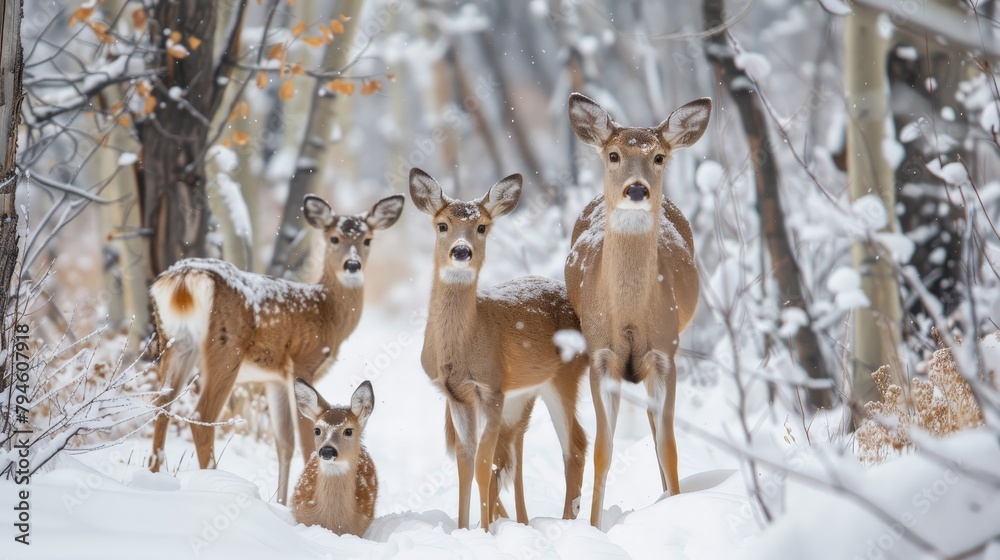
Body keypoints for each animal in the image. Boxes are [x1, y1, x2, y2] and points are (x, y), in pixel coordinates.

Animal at [146, 192, 404, 504]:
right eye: (333, 238)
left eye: (367, 240)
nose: (352, 265)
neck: (325, 312)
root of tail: (183, 279)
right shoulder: (304, 362)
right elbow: (306, 439)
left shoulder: (275, 378)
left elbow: (284, 442)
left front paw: (281, 503)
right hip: (224, 349)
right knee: (201, 415)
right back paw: (214, 481)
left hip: (175, 343)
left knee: (160, 404)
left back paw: (153, 479)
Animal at [408, 168, 588, 532]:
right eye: (442, 225)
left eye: (482, 227)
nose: (461, 251)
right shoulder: (458, 396)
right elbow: (466, 464)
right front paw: (464, 530)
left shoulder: (490, 388)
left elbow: (482, 465)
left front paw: (485, 532)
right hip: (523, 395)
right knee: (517, 451)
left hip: (564, 377)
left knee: (575, 446)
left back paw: (567, 523)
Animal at [564, 91, 712, 524]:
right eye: (613, 154)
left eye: (659, 156)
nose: (636, 189)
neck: (629, 314)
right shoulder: (601, 356)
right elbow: (602, 451)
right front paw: (594, 527)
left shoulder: (665, 353)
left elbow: (669, 446)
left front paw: (676, 506)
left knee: (654, 424)